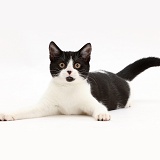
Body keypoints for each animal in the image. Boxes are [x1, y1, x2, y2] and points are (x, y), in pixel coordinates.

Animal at [0, 42, 160, 120]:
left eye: (77, 65)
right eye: (62, 65)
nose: (69, 71)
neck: (67, 89)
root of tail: (117, 75)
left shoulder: (92, 102)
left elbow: (99, 107)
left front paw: (102, 114)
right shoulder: (45, 106)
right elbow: (26, 110)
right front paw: (9, 114)